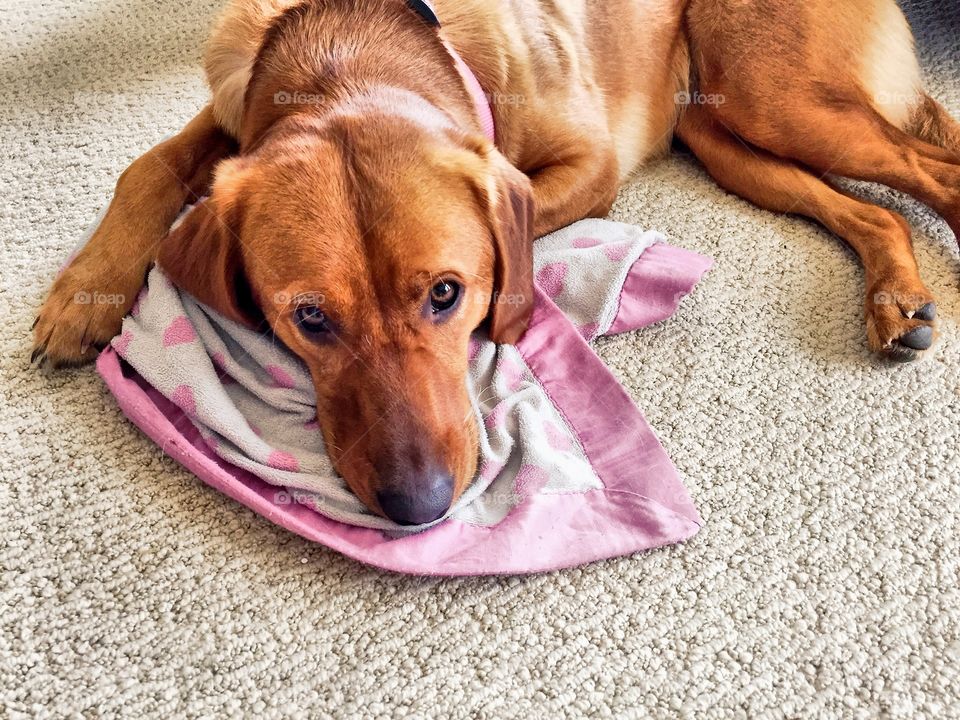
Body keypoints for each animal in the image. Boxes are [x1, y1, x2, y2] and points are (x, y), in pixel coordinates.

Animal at [30, 0, 960, 524]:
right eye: (310, 318)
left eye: (448, 294)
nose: (419, 508)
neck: (352, 45)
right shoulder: (230, 115)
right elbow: (149, 165)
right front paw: (86, 293)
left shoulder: (589, 165)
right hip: (726, 133)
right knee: (873, 207)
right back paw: (897, 295)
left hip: (777, 96)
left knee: (929, 166)